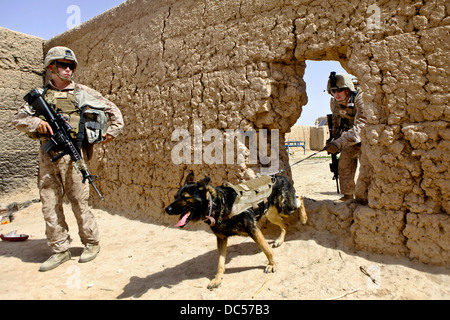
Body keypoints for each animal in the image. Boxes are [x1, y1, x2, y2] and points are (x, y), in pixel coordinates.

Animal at [166, 172, 310, 290]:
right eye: (175, 196)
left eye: (185, 197)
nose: (167, 209)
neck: (219, 204)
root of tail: (279, 176)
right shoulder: (221, 238)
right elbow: (220, 263)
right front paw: (217, 279)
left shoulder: (253, 229)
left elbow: (266, 250)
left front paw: (272, 264)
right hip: (271, 214)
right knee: (285, 224)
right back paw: (280, 240)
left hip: (285, 207)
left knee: (300, 198)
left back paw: (303, 217)